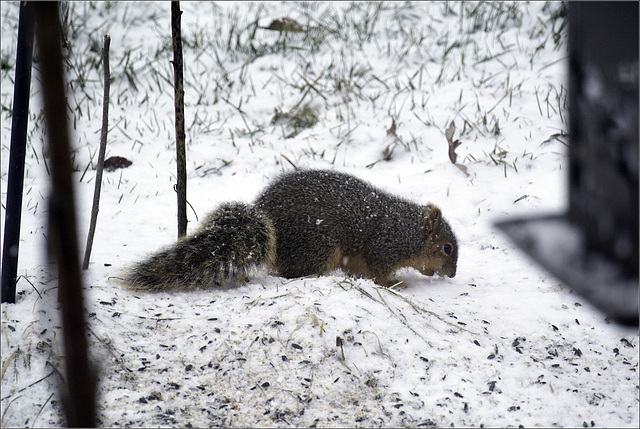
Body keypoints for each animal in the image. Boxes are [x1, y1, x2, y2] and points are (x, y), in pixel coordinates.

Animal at [124, 169, 456, 290]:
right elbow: (378, 271)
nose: (451, 274)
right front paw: (394, 284)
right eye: (447, 248)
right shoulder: (385, 246)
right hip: (319, 246)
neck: (408, 230)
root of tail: (267, 217)